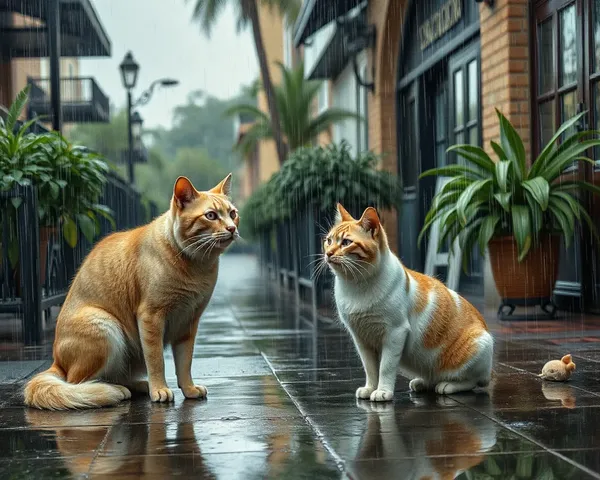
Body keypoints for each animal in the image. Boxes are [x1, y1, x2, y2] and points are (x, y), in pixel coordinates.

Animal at [23, 174, 239, 410]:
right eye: (211, 215)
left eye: (232, 214)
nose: (231, 228)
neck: (195, 265)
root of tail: (56, 361)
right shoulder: (151, 317)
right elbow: (156, 360)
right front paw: (160, 389)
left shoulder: (189, 322)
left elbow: (185, 362)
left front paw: (189, 389)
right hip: (105, 325)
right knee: (78, 382)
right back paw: (114, 391)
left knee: (115, 376)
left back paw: (137, 386)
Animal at [328, 203, 492, 402]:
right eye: (328, 240)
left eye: (346, 242)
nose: (328, 253)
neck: (357, 286)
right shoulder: (360, 338)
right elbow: (370, 368)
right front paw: (370, 388)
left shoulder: (395, 332)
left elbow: (385, 367)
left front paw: (382, 391)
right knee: (432, 378)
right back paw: (421, 382)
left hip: (480, 344)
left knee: (472, 381)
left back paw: (448, 385)